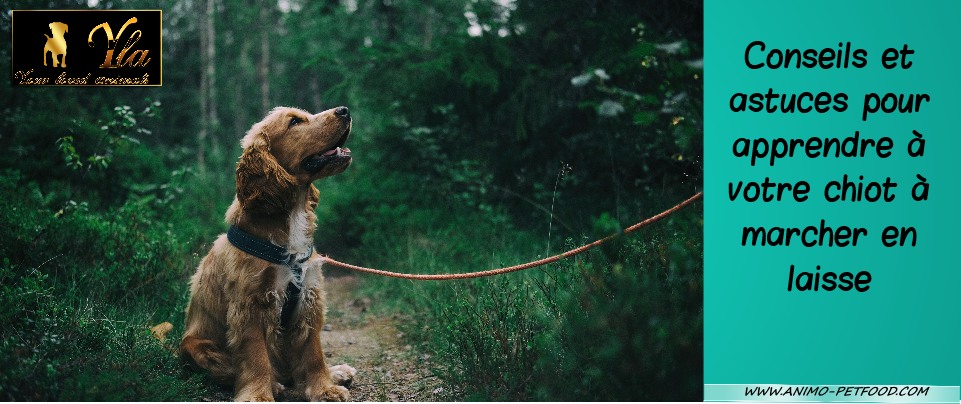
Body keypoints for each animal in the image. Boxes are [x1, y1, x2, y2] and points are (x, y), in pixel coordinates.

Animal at [182, 105, 354, 400]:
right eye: (294, 122)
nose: (344, 110)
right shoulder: (250, 305)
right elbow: (256, 357)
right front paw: (258, 395)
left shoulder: (309, 298)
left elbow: (313, 353)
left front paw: (325, 388)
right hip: (198, 348)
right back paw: (274, 384)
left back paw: (337, 372)